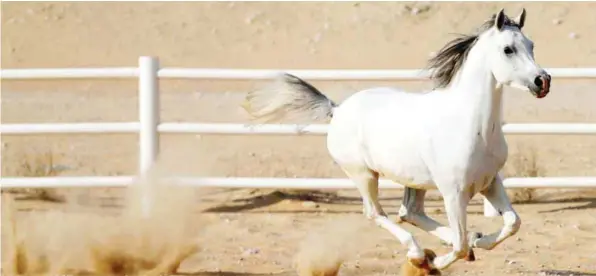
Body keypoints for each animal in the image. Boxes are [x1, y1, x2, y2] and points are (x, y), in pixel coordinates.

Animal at [242, 8, 548, 274]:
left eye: (531, 45)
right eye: (508, 49)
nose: (542, 81)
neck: (473, 126)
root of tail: (337, 109)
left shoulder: (489, 182)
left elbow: (513, 223)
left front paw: (477, 241)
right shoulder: (454, 192)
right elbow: (461, 247)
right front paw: (438, 261)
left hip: (414, 180)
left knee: (409, 212)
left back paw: (449, 244)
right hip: (364, 175)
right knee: (377, 214)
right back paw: (418, 254)